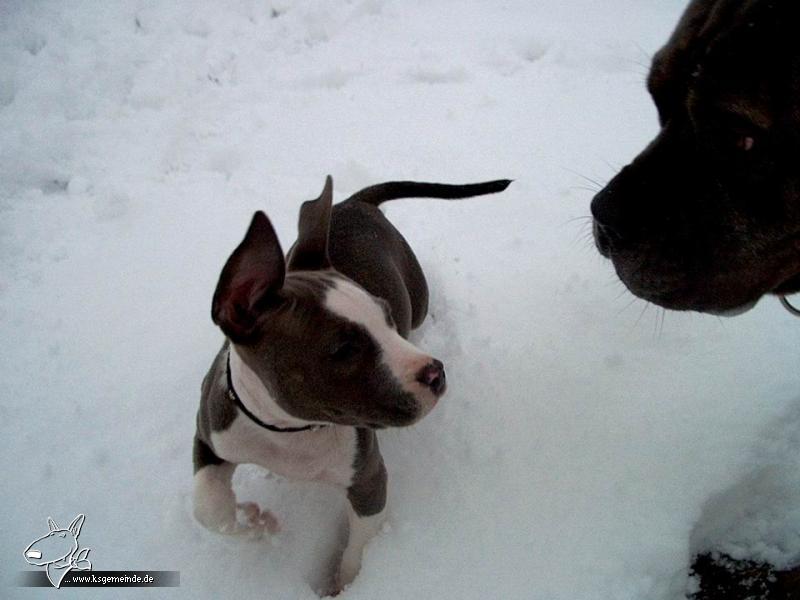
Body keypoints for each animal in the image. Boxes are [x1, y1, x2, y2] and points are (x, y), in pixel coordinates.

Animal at [191, 176, 510, 588]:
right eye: (344, 349)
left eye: (387, 317)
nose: (435, 373)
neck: (290, 430)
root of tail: (354, 202)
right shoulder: (211, 432)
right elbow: (207, 507)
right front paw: (253, 522)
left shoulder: (369, 480)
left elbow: (357, 548)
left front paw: (342, 585)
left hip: (418, 297)